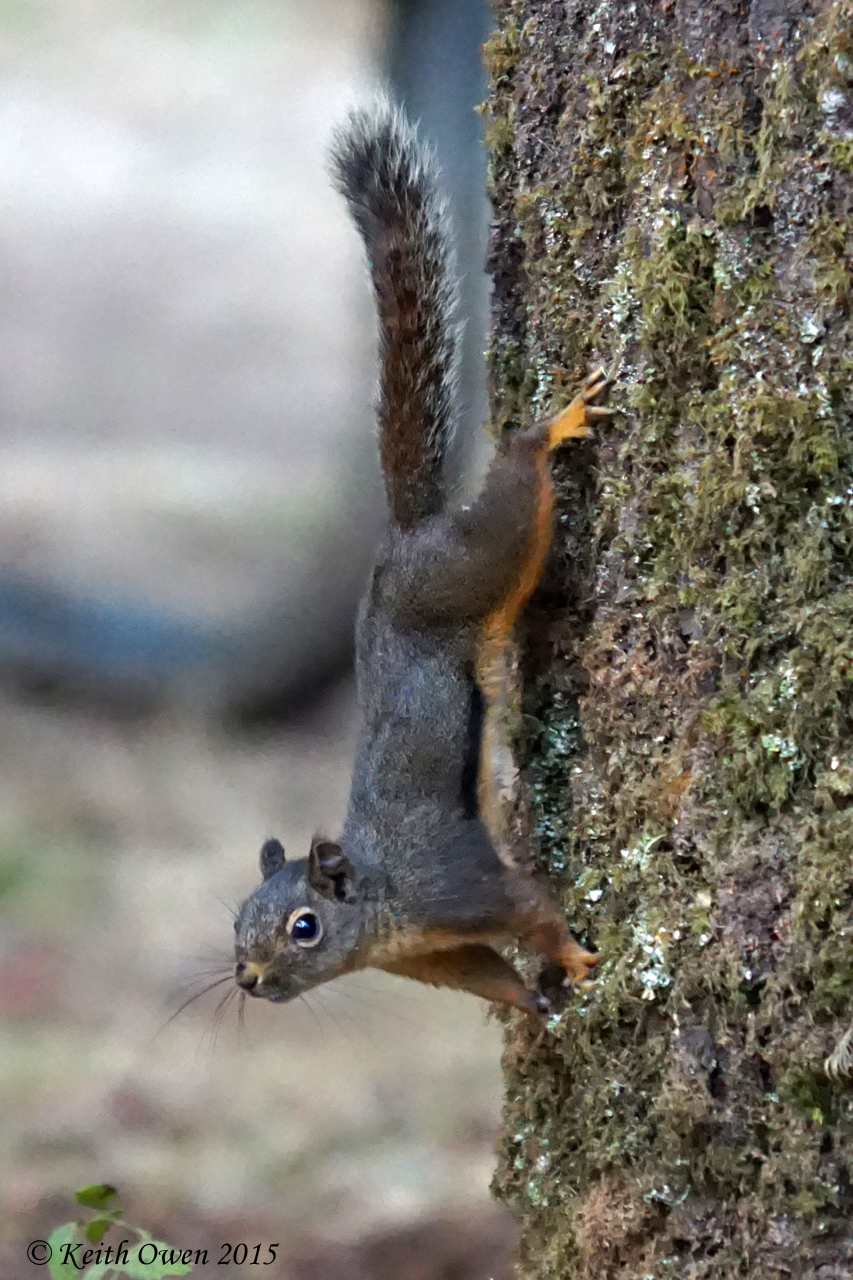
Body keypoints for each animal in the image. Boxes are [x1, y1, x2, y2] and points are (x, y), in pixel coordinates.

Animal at [233, 103, 613, 1018]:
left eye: (303, 927)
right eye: (234, 924)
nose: (247, 980)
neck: (384, 914)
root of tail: (406, 535)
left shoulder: (459, 887)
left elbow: (529, 907)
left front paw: (574, 963)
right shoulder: (440, 954)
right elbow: (488, 970)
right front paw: (534, 1003)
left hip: (475, 559)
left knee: (517, 484)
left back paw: (551, 428)